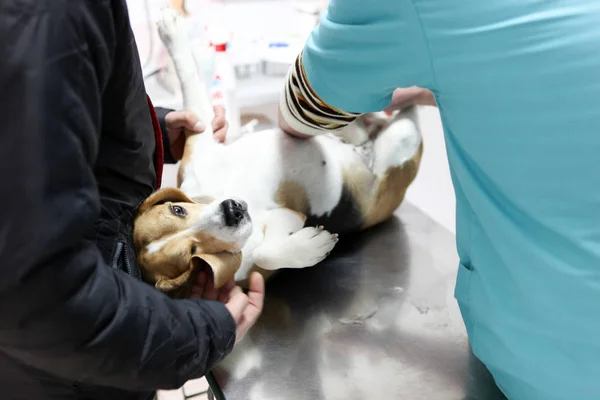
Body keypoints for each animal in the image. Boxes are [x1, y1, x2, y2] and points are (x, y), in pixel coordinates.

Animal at [135, 8, 422, 296]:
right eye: (193, 254)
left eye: (177, 210)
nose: (232, 211)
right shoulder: (282, 221)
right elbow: (266, 253)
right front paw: (312, 245)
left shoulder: (200, 137)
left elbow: (188, 78)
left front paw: (171, 30)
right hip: (404, 136)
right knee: (398, 116)